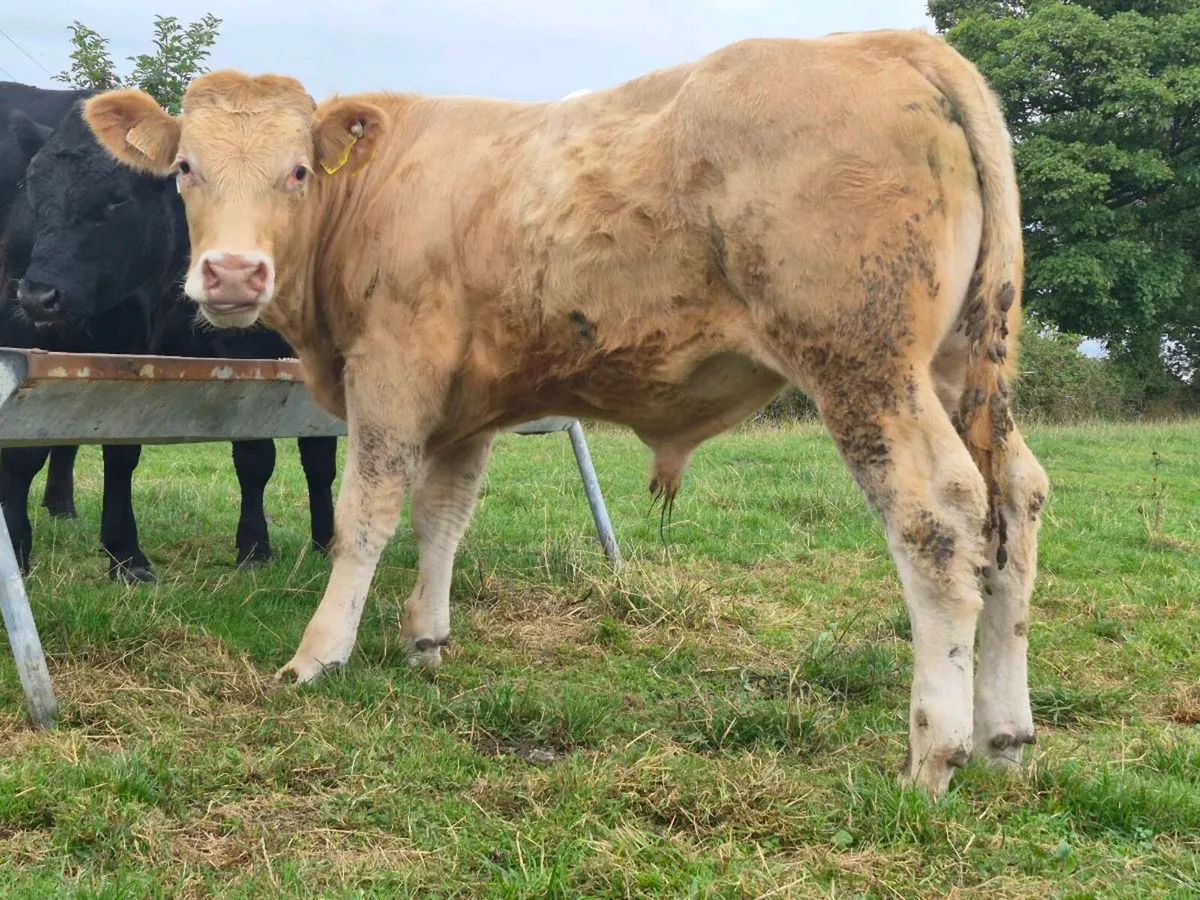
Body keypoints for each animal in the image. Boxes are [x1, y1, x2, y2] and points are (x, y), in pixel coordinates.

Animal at [1, 99, 339, 581]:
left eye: (118, 199)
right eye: (31, 190)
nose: (38, 295)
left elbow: (315, 458)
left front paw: (325, 541)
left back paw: (62, 506)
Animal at [82, 28, 1052, 796]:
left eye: (294, 171)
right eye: (186, 169)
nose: (232, 273)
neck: (377, 192)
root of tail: (894, 43)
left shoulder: (393, 369)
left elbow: (366, 513)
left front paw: (319, 655)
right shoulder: (467, 401)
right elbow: (444, 516)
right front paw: (425, 639)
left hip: (864, 365)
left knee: (939, 518)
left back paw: (933, 757)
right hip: (961, 365)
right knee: (1015, 503)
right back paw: (1004, 737)